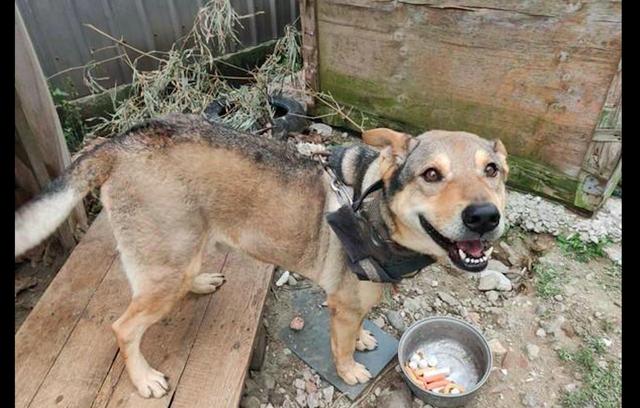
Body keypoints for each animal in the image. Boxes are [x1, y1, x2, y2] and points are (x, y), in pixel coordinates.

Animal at [12, 114, 508, 398]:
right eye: (431, 175)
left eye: (492, 171)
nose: (485, 217)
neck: (374, 212)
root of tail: (118, 143)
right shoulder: (344, 306)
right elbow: (341, 345)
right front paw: (349, 369)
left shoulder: (358, 299)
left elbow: (361, 327)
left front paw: (366, 339)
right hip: (163, 268)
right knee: (123, 327)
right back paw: (144, 377)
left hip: (184, 251)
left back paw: (201, 281)